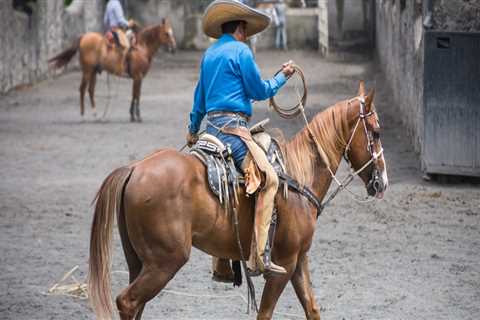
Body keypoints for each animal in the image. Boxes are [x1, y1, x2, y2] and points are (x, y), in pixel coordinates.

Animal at [48, 20, 177, 122]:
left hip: (93, 72)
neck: (141, 48)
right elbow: (137, 95)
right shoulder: (138, 77)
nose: (174, 48)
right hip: (87, 71)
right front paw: (137, 116)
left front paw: (132, 116)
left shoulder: (137, 78)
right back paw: (83, 116)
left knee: (90, 90)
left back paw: (96, 115)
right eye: (166, 33)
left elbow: (134, 95)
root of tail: (84, 37)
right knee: (82, 89)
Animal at [88, 83, 390, 320]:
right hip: (165, 261)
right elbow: (265, 313)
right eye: (375, 132)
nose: (382, 182)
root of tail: (134, 169)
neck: (298, 178)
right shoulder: (283, 265)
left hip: (139, 261)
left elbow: (312, 308)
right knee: (128, 301)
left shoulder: (299, 260)